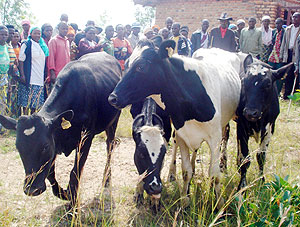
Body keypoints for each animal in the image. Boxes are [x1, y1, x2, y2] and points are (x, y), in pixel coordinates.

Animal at [0, 52, 122, 205]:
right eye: (18, 146)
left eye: (45, 146)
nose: (32, 189)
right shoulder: (55, 142)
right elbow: (50, 174)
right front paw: (64, 194)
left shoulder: (86, 138)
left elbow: (75, 172)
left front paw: (73, 199)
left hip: (113, 122)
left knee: (109, 147)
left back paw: (107, 180)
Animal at [108, 40, 241, 207]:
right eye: (127, 63)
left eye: (141, 66)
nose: (112, 97)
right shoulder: (182, 133)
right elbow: (185, 171)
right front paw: (184, 201)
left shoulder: (214, 138)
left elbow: (214, 174)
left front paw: (219, 203)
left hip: (224, 125)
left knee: (225, 138)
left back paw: (223, 165)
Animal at [236, 55, 292, 190]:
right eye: (244, 82)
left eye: (268, 84)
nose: (251, 113)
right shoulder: (241, 127)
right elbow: (245, 158)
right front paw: (242, 187)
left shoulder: (270, 128)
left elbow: (261, 157)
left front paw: (261, 180)